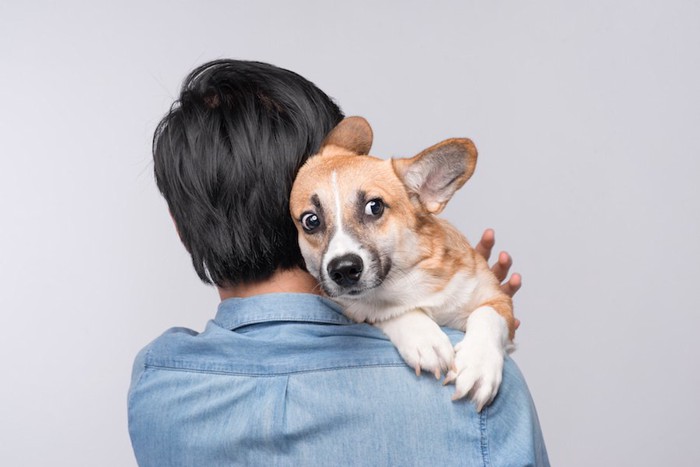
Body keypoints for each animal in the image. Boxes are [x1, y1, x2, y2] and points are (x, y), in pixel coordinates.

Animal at [288, 118, 516, 414]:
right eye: (311, 221)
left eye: (374, 207)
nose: (344, 270)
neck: (409, 282)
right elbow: (384, 310)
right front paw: (424, 338)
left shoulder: (497, 298)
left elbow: (487, 316)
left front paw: (479, 365)